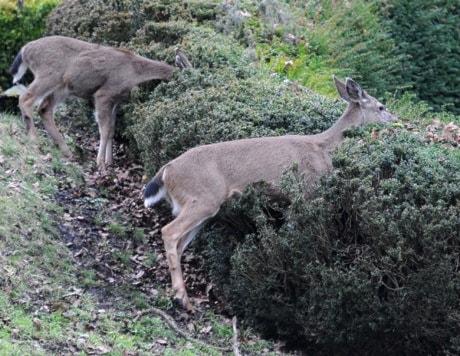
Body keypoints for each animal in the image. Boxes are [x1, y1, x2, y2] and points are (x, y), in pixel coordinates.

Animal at [9, 36, 191, 170]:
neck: (134, 72)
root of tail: (25, 50)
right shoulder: (104, 94)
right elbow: (105, 129)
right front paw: (101, 164)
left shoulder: (115, 100)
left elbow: (111, 129)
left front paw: (110, 162)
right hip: (48, 74)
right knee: (25, 98)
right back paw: (34, 139)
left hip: (63, 87)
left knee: (44, 109)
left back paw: (67, 151)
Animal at [144, 76, 396, 312]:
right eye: (381, 106)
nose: (396, 120)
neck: (324, 148)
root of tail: (167, 170)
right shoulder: (307, 191)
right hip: (204, 198)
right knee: (169, 232)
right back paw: (181, 299)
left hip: (203, 207)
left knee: (179, 242)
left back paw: (182, 298)